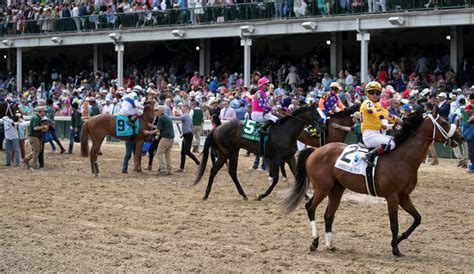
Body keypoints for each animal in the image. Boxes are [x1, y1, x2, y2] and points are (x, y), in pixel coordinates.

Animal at [284, 109, 462, 256]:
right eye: (444, 122)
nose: (460, 136)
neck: (403, 158)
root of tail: (316, 151)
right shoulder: (392, 197)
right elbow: (394, 224)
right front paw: (395, 248)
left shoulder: (404, 196)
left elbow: (417, 218)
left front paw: (399, 240)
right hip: (322, 188)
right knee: (310, 207)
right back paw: (314, 242)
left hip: (337, 189)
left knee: (329, 215)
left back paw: (330, 245)